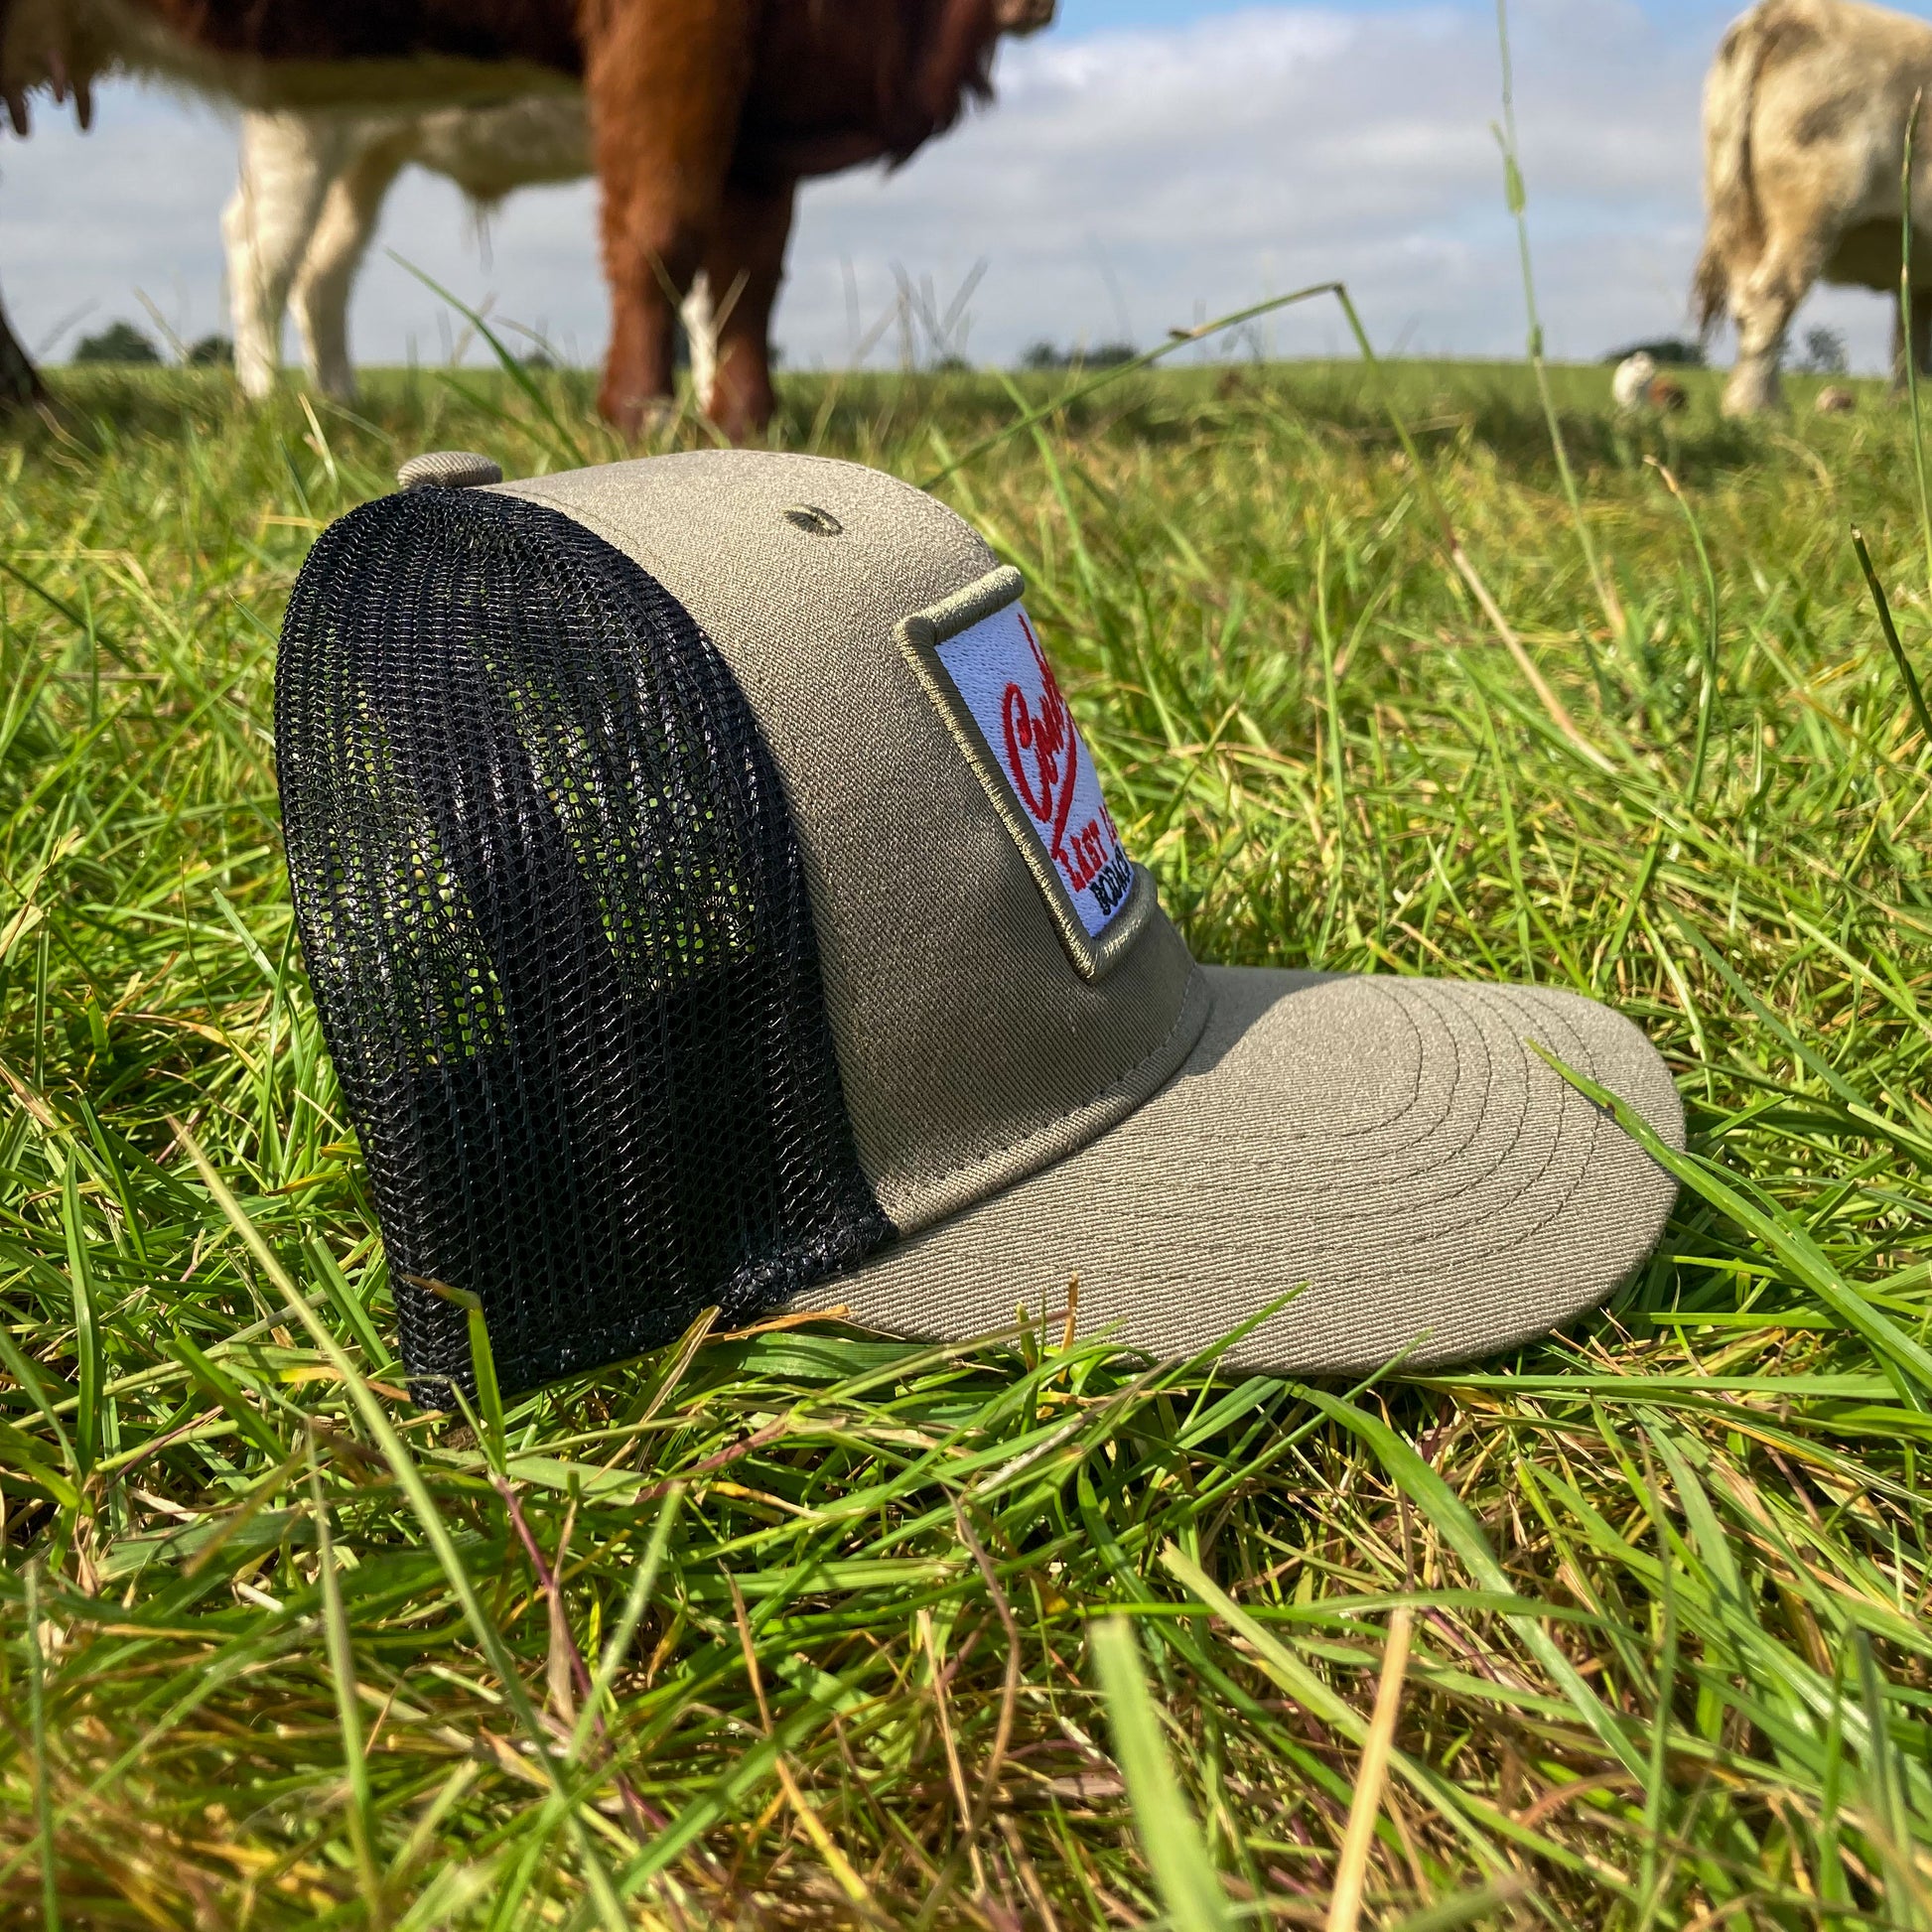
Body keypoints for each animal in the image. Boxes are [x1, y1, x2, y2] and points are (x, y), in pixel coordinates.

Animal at [220, 97, 718, 407]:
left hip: (367, 158)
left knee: (324, 270)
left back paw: (339, 402)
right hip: (294, 120)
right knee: (260, 250)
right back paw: (266, 399)